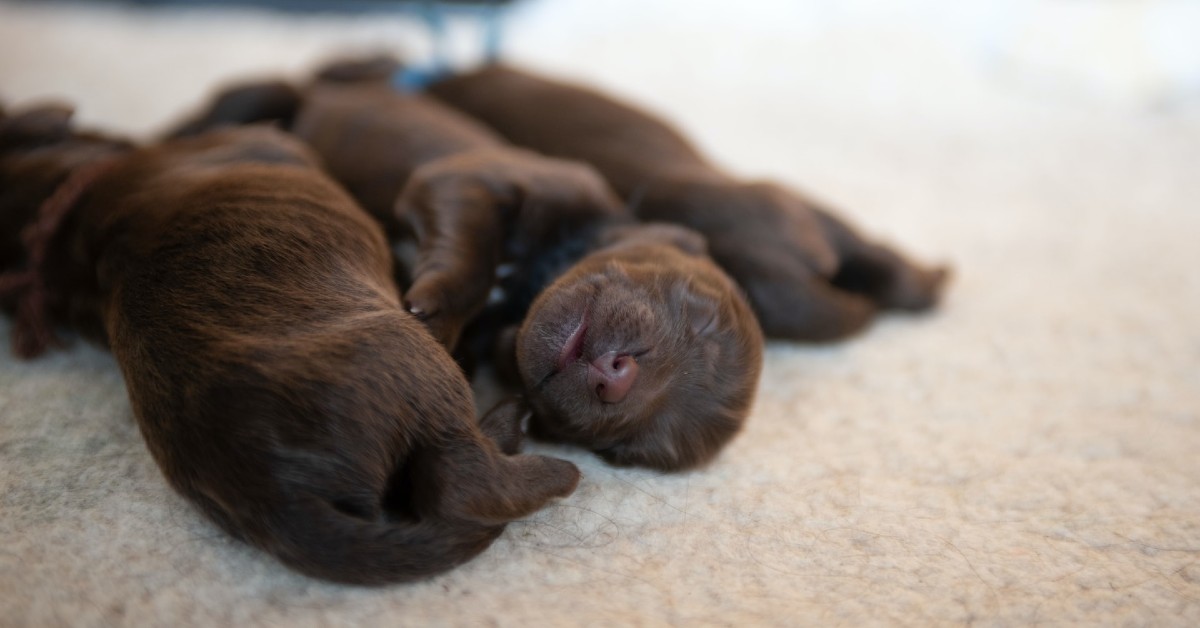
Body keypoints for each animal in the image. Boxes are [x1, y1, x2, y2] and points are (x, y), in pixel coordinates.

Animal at [171, 60, 758, 470]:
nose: (617, 379)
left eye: (627, 448)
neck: (523, 289)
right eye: (702, 317)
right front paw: (434, 311)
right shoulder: (471, 177)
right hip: (277, 97)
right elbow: (470, 252)